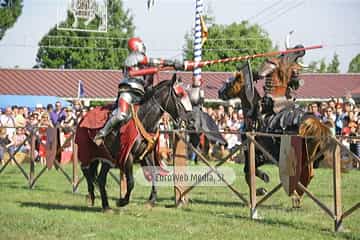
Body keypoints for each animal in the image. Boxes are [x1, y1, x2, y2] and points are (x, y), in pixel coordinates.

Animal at [75, 74, 191, 211]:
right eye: (178, 96)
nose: (187, 120)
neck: (144, 119)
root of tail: (83, 117)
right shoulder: (128, 157)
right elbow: (130, 182)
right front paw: (122, 201)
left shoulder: (147, 155)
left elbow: (153, 175)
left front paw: (151, 200)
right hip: (88, 152)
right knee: (86, 170)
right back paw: (92, 196)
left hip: (106, 158)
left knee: (100, 178)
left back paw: (106, 206)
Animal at [218, 63, 330, 206]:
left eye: (230, 83)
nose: (220, 92)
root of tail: (316, 123)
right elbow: (250, 171)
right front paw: (263, 182)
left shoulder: (254, 152)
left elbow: (248, 172)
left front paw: (260, 188)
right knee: (309, 174)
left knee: (307, 173)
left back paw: (296, 196)